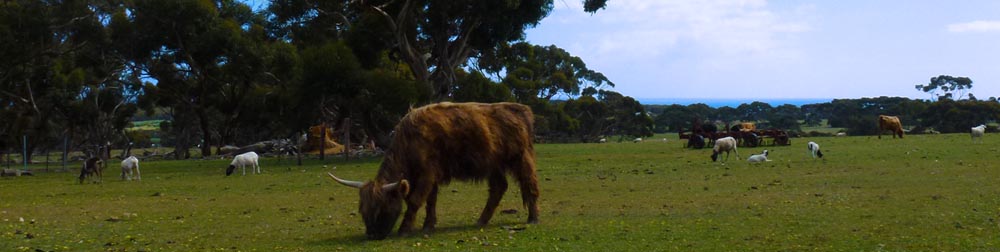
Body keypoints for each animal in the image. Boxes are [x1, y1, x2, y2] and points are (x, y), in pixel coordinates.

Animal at [328, 102, 540, 240]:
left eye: (382, 207)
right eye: (362, 209)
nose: (372, 234)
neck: (409, 140)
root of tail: (520, 108)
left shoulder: (427, 173)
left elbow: (415, 201)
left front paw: (405, 229)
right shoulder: (431, 175)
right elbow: (431, 201)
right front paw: (428, 225)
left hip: (521, 158)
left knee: (530, 185)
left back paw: (533, 218)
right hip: (493, 164)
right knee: (498, 187)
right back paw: (481, 220)